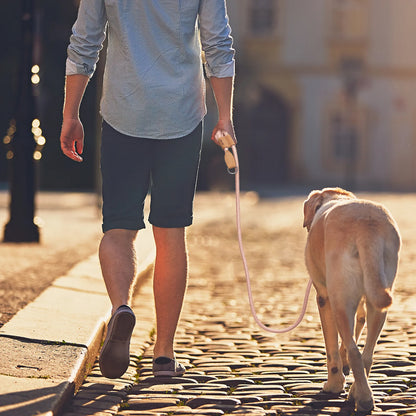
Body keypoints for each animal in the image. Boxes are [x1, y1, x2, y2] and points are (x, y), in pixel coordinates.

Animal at [304, 188, 402, 412]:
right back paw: (358, 393)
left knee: (354, 352)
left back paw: (362, 399)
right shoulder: (361, 301)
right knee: (366, 354)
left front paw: (333, 384)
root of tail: (366, 225)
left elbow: (332, 348)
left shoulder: (324, 297)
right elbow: (358, 324)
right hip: (378, 299)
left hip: (339, 299)